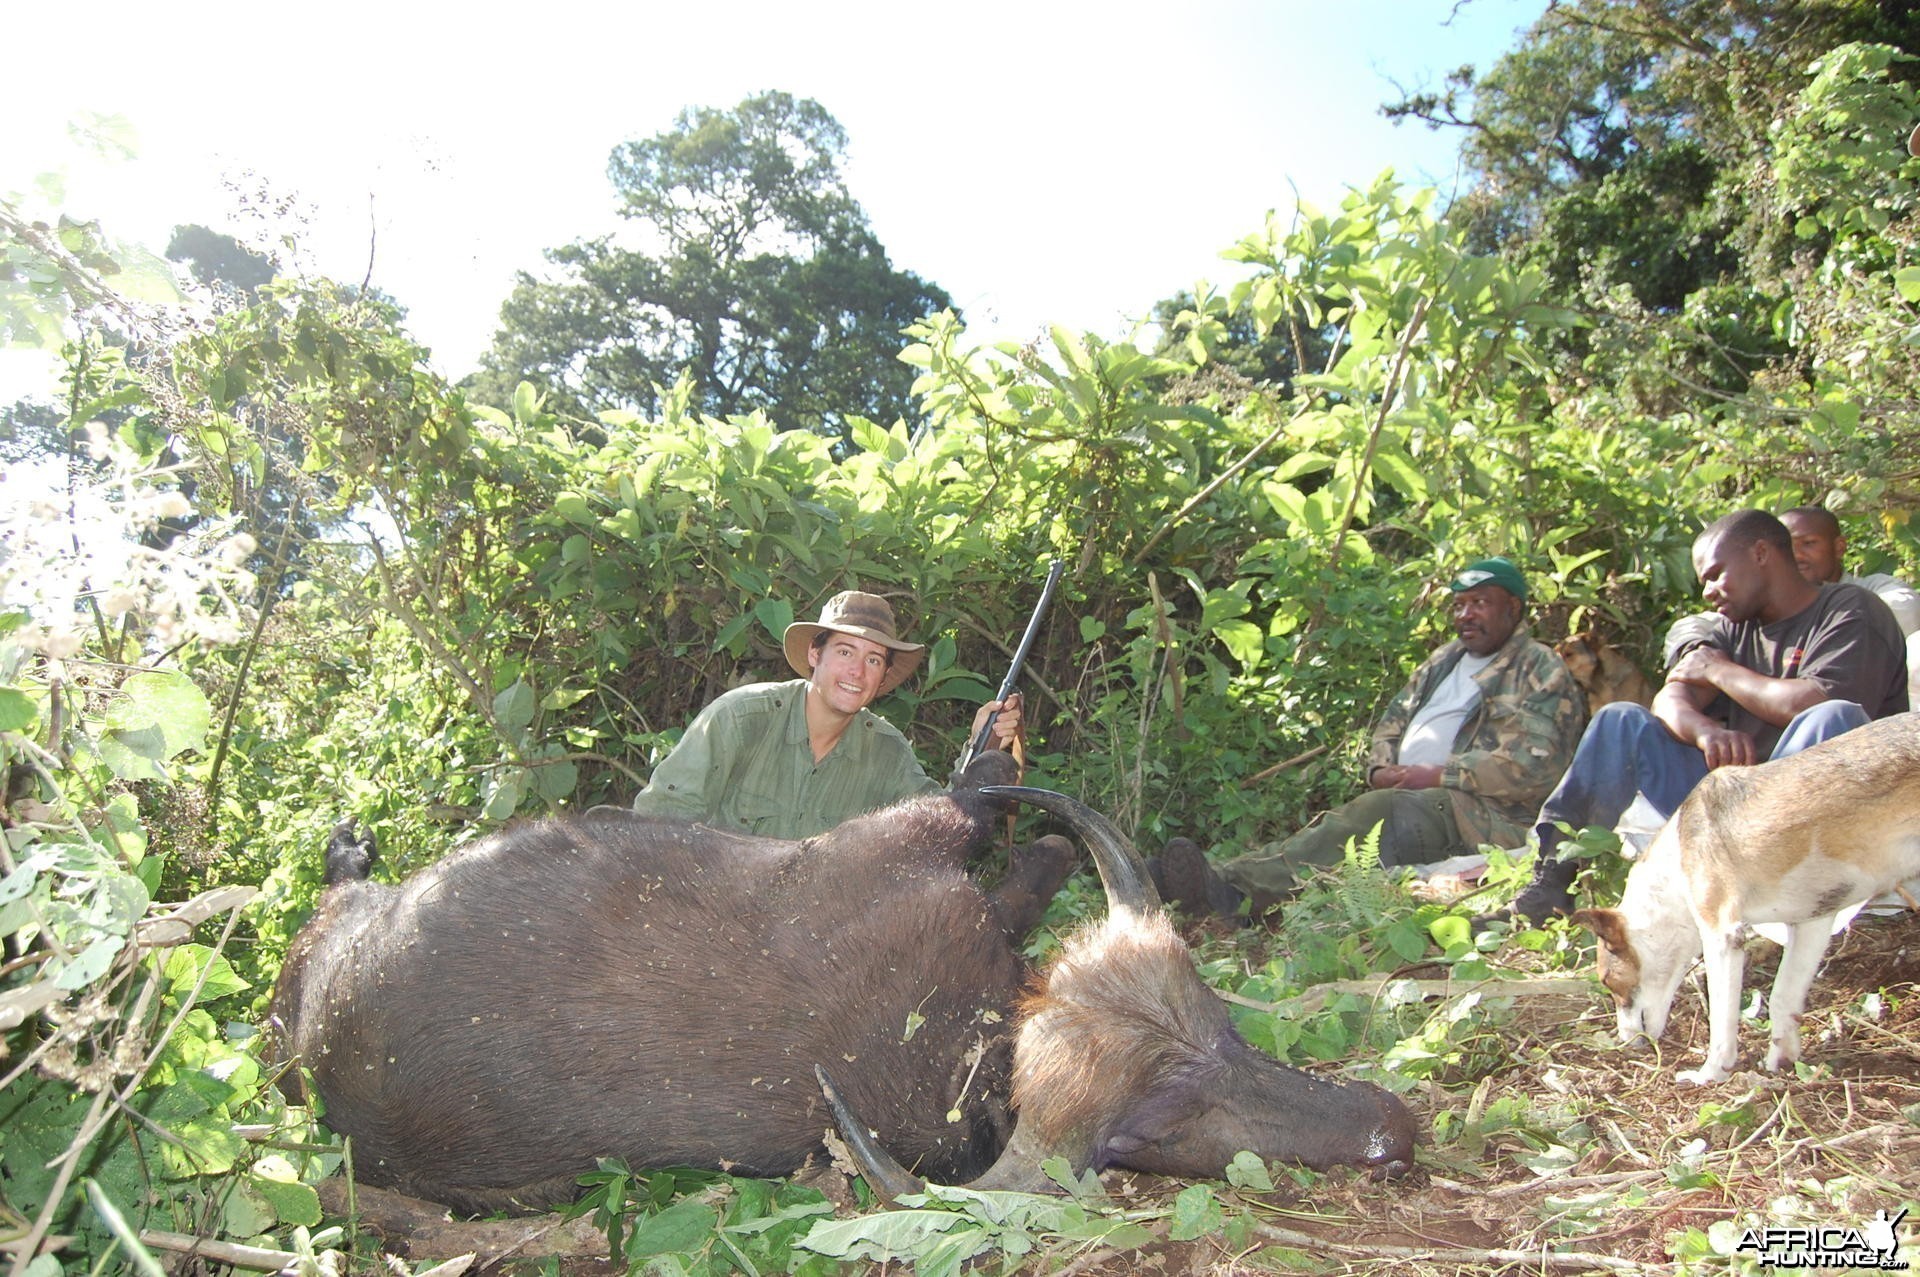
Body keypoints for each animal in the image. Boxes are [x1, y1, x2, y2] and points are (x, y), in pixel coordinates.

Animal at [266, 752, 1413, 1213]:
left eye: (1227, 1032)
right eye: (1148, 1131)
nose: (1392, 1129)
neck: (973, 1025)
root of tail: (322, 1046)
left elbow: (1040, 852)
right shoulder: (924, 838)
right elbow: (1017, 839)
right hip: (313, 952)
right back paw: (344, 845)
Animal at [1574, 710, 1920, 1083]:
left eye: (1608, 981)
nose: (1624, 1045)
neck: (1675, 865)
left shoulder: (1722, 935)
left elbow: (1721, 1024)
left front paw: (1710, 1075)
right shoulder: (1812, 923)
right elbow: (1783, 996)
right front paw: (1781, 1061)